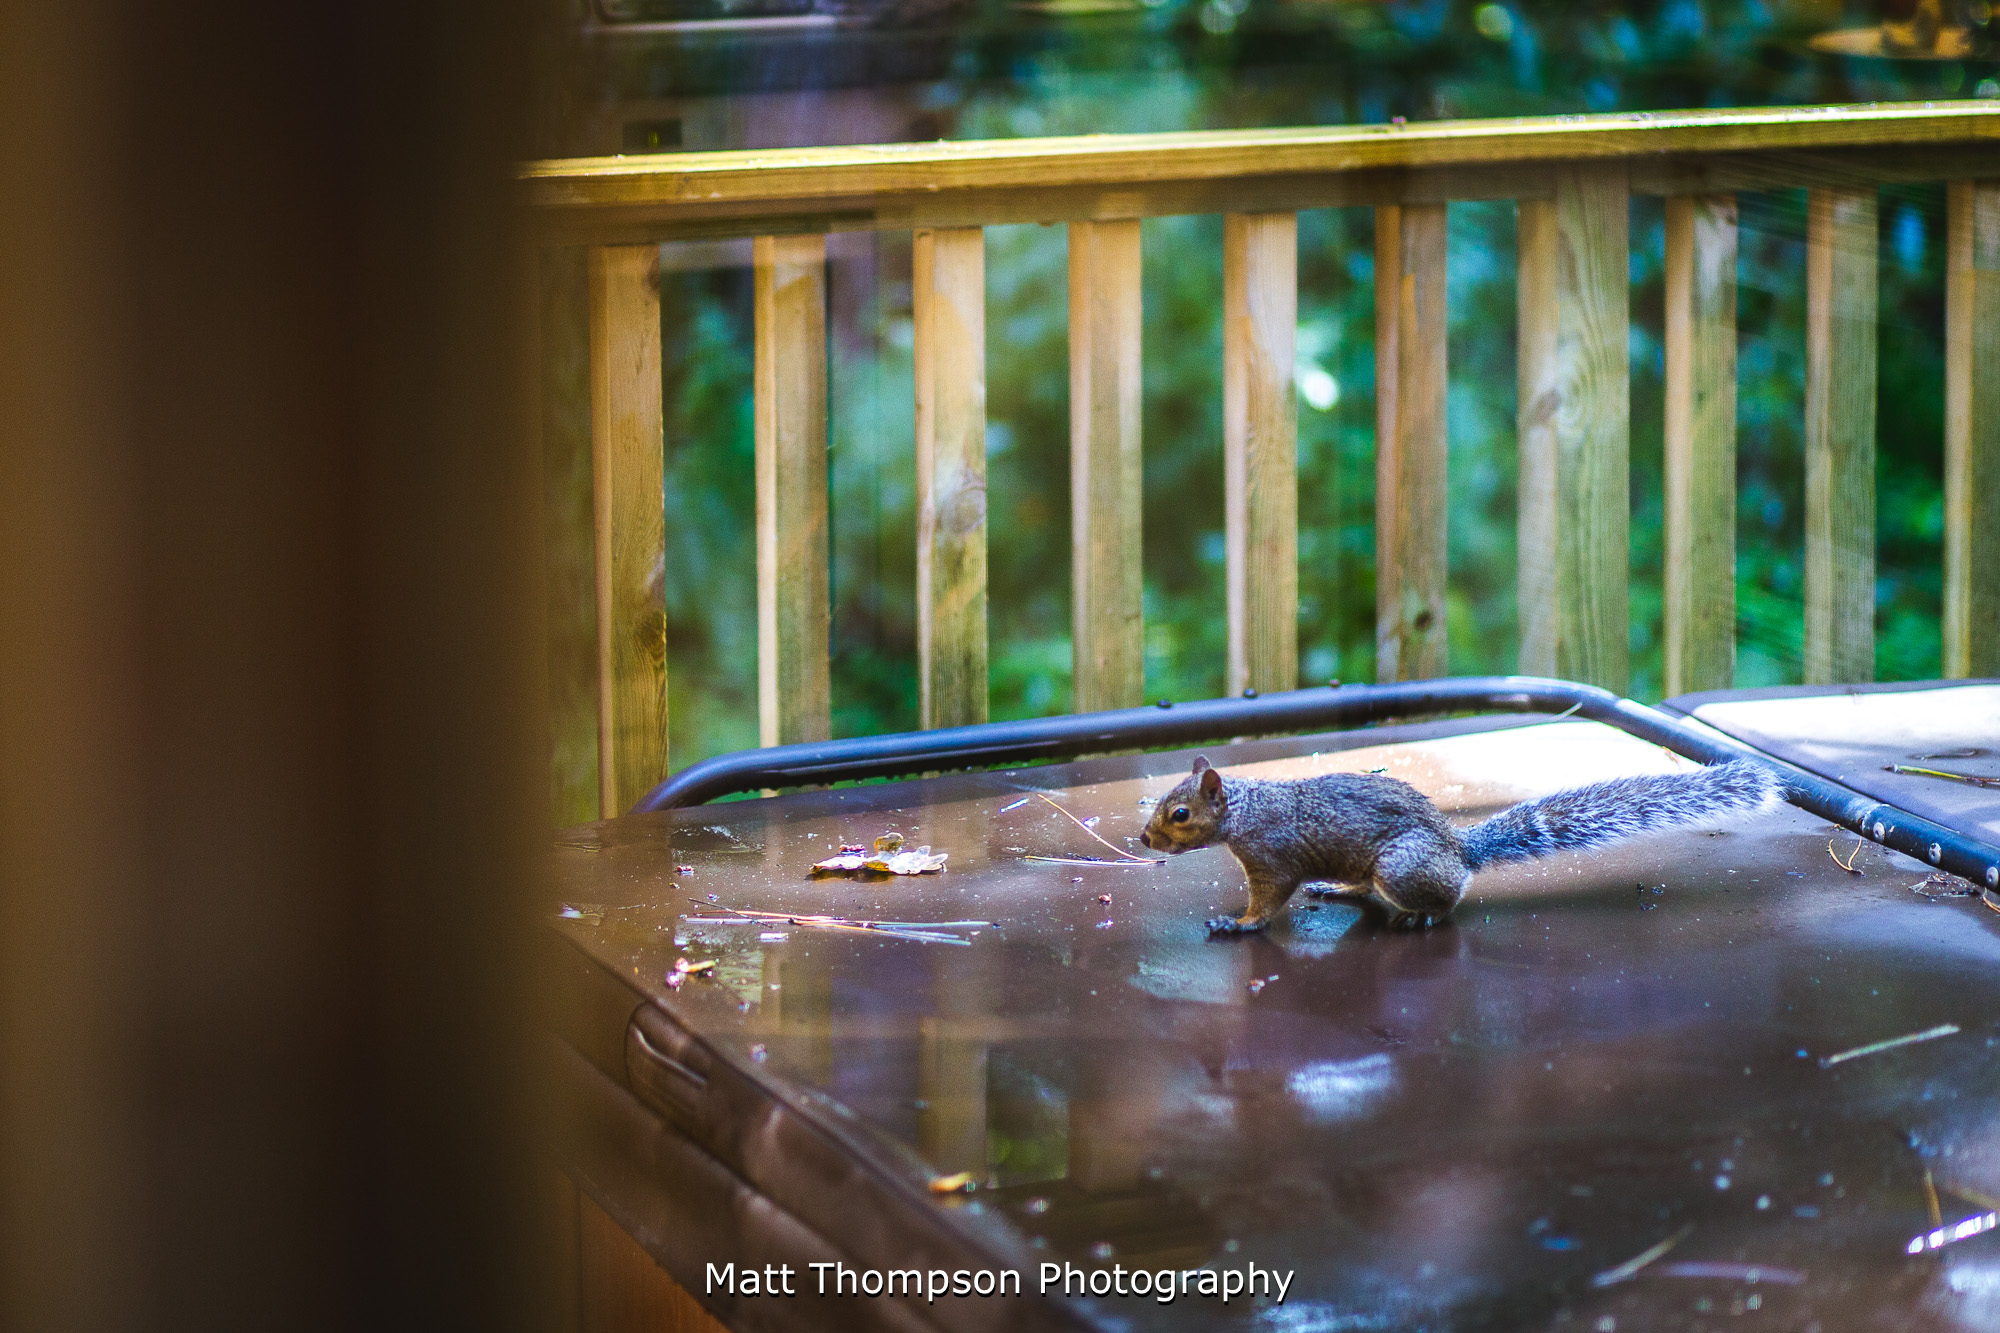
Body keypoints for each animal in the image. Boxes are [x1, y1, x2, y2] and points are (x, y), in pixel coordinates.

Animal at [1138, 755, 1786, 933]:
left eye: (1180, 812)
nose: (1142, 838)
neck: (1248, 811)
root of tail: (1457, 850)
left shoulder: (1272, 861)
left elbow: (1268, 902)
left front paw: (1238, 924)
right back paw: (1338, 888)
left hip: (1402, 867)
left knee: (1448, 899)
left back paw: (1421, 916)